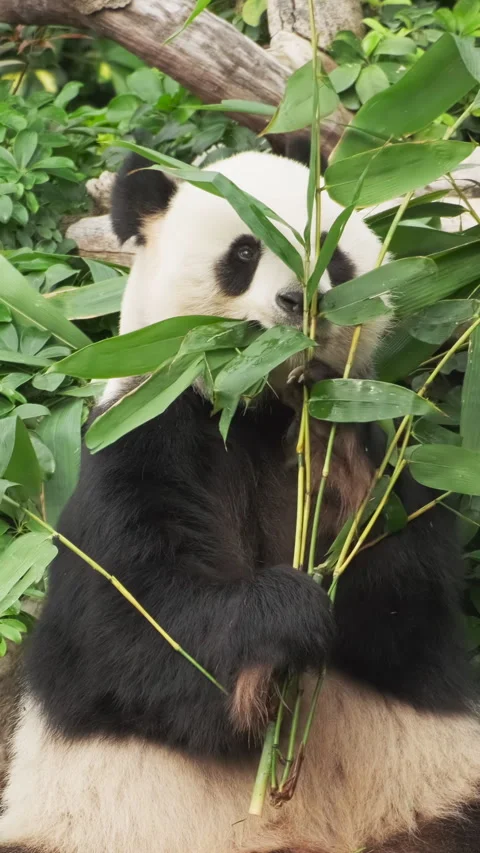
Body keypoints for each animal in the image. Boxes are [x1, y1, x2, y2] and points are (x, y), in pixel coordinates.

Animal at [0, 144, 479, 853]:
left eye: (335, 258)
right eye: (246, 251)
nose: (299, 302)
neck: (257, 404)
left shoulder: (389, 445)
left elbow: (407, 603)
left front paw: (337, 476)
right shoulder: (145, 428)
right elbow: (129, 628)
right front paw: (283, 618)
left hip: (430, 792)